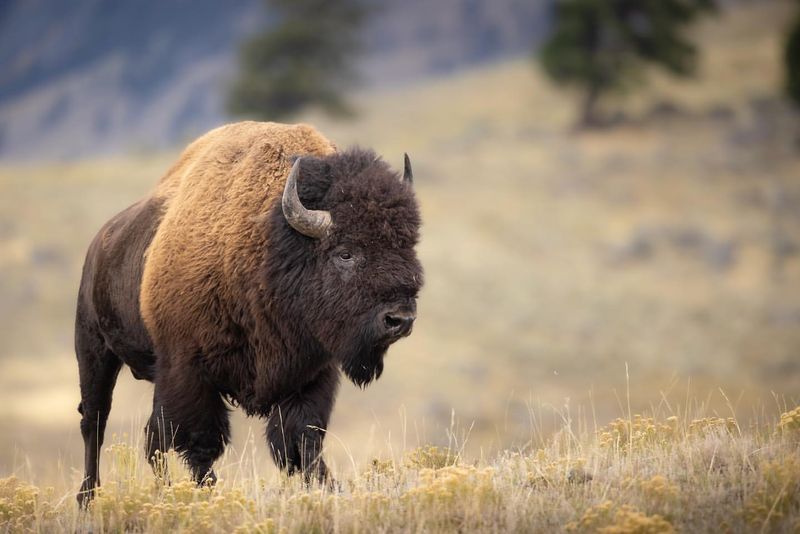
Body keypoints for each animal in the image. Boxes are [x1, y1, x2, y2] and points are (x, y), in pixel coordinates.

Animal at [75, 121, 422, 506]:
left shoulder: (313, 374)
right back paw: (87, 498)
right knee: (95, 420)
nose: (400, 319)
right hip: (94, 350)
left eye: (408, 245)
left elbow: (301, 440)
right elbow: (201, 443)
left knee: (151, 437)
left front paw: (328, 488)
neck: (268, 243)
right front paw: (208, 494)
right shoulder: (188, 370)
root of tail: (98, 244)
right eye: (345, 253)